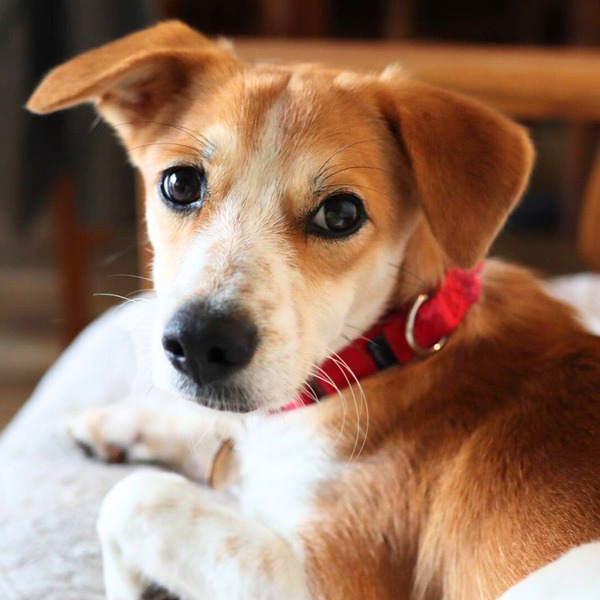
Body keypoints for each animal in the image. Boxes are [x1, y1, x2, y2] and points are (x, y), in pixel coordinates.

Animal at [28, 21, 600, 600]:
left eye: (341, 213)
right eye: (180, 183)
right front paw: (116, 421)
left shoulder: (326, 580)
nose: (199, 343)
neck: (391, 347)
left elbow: (133, 499)